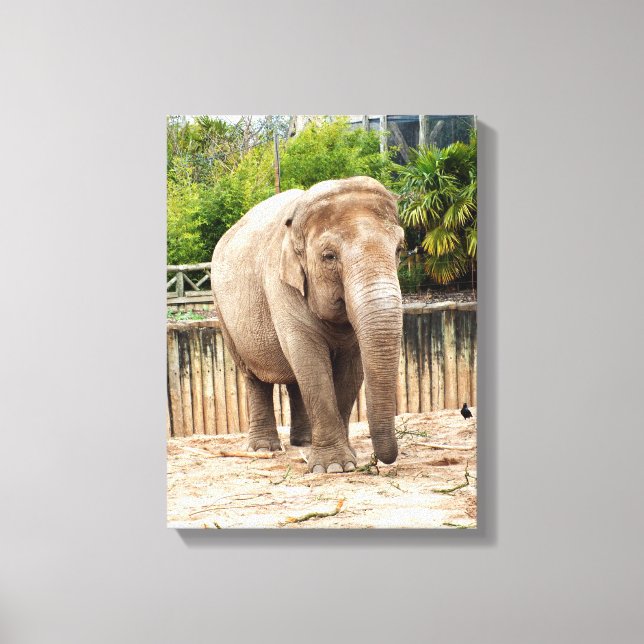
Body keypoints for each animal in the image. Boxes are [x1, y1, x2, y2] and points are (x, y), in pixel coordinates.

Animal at [211, 176, 404, 473]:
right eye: (329, 256)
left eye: (399, 249)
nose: (379, 459)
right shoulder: (280, 285)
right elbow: (309, 358)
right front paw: (334, 467)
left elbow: (351, 367)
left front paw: (346, 460)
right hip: (223, 313)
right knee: (254, 377)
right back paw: (263, 448)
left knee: (294, 378)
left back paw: (303, 442)